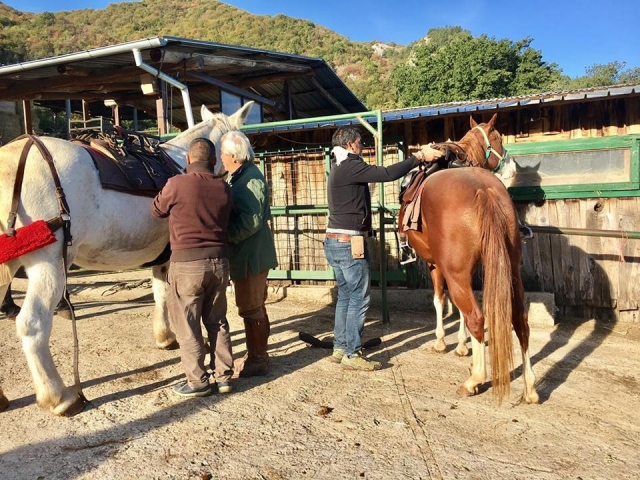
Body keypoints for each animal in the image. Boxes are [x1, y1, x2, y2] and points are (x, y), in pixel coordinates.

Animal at [0, 102, 254, 416]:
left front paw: (165, 336)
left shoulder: (162, 258)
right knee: (32, 324)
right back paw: (58, 397)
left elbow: (160, 294)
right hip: (49, 264)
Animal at [399, 114, 538, 404]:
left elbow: (441, 301)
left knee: (476, 316)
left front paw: (442, 342)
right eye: (499, 138)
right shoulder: (465, 271)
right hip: (511, 269)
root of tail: (484, 190)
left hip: (456, 272)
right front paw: (462, 346)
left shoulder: (437, 265)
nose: (512, 170)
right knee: (520, 320)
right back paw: (530, 387)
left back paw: (474, 380)